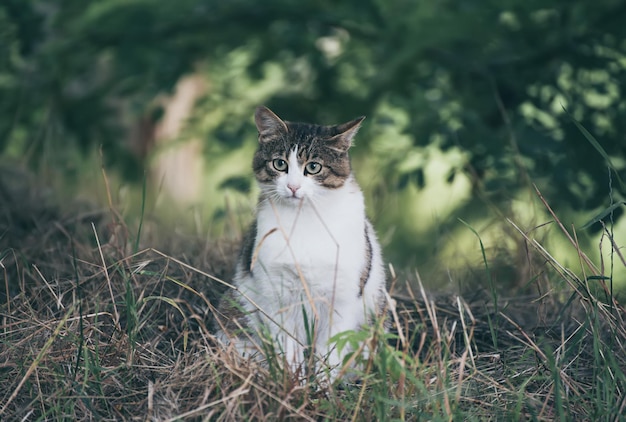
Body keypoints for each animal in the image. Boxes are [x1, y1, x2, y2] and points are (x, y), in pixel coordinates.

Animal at [216, 106, 390, 382]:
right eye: (279, 164)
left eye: (314, 167)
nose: (293, 186)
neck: (305, 218)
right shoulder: (278, 296)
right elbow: (287, 349)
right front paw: (291, 383)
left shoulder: (341, 299)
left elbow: (329, 352)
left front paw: (321, 386)